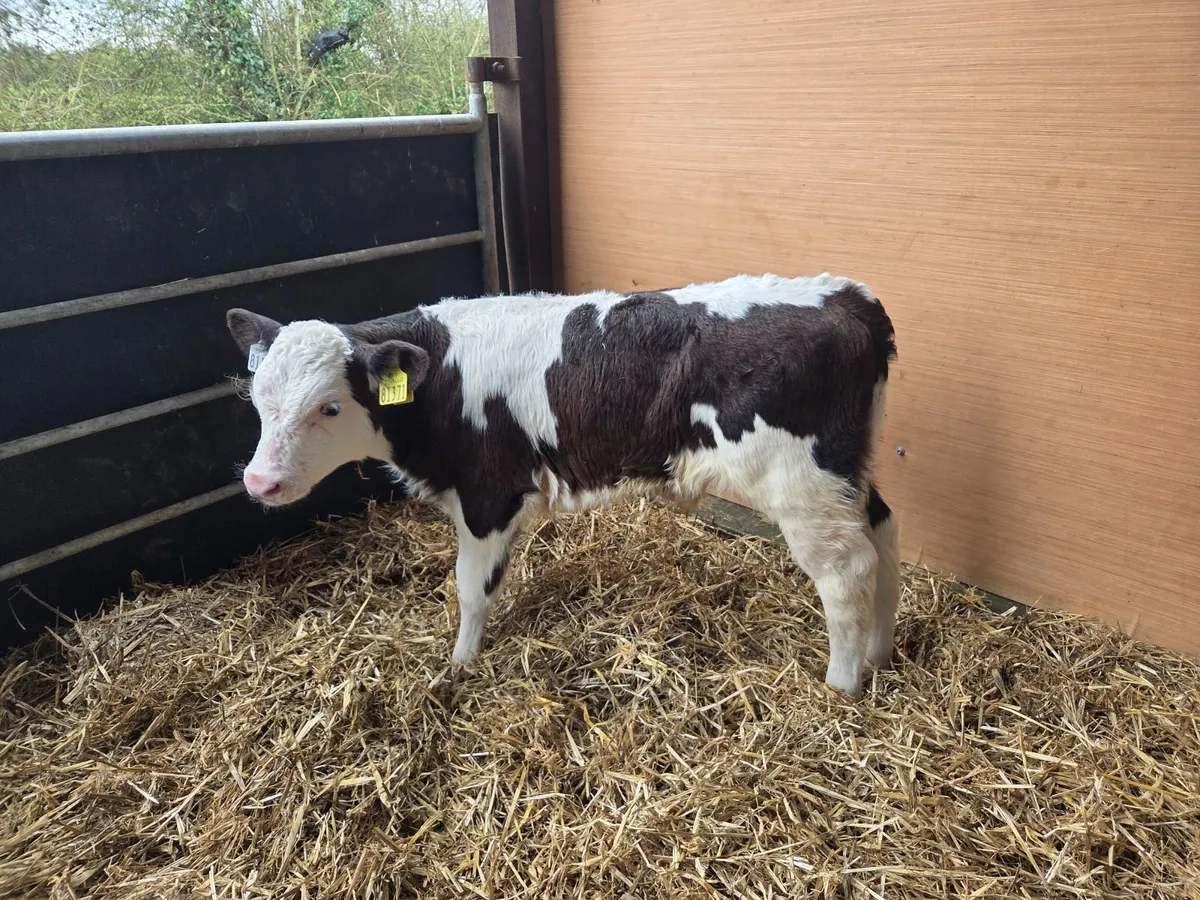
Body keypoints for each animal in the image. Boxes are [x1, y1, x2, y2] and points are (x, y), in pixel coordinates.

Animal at [225, 272, 900, 697]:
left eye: (330, 407)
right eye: (257, 398)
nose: (259, 481)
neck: (442, 378)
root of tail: (851, 299)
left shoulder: (487, 494)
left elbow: (470, 589)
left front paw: (460, 664)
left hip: (802, 483)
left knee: (846, 572)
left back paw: (840, 686)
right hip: (846, 477)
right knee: (885, 534)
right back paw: (880, 652)